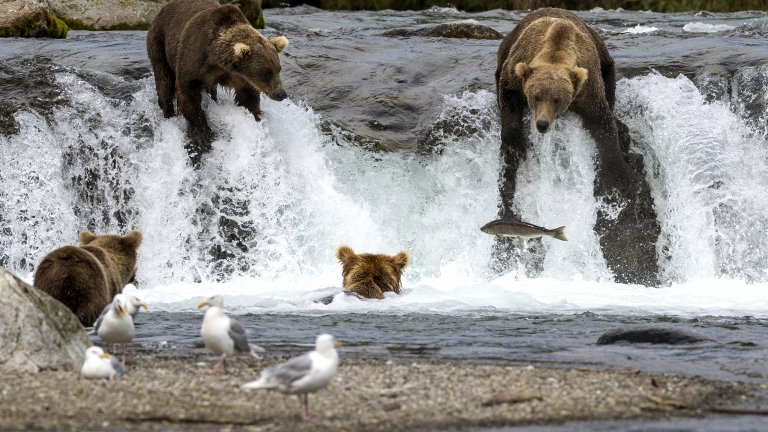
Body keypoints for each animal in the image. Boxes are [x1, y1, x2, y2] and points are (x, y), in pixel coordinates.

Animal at [146, 0, 288, 165]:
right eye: (266, 72)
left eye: (278, 69)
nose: (281, 94)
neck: (216, 59)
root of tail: (161, 10)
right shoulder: (193, 58)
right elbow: (188, 95)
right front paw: (202, 135)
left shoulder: (238, 77)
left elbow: (247, 98)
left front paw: (255, 117)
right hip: (160, 43)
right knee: (164, 81)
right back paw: (168, 113)